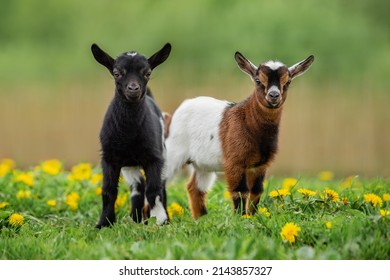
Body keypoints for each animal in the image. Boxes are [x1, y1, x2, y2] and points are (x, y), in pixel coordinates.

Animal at [92, 43, 171, 228]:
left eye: (147, 73)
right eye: (116, 73)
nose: (133, 89)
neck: (129, 134)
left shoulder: (155, 158)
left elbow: (154, 190)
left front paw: (160, 221)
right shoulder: (109, 158)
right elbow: (108, 190)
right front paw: (104, 223)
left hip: (162, 153)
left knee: (160, 187)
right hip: (130, 164)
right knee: (137, 187)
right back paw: (135, 219)